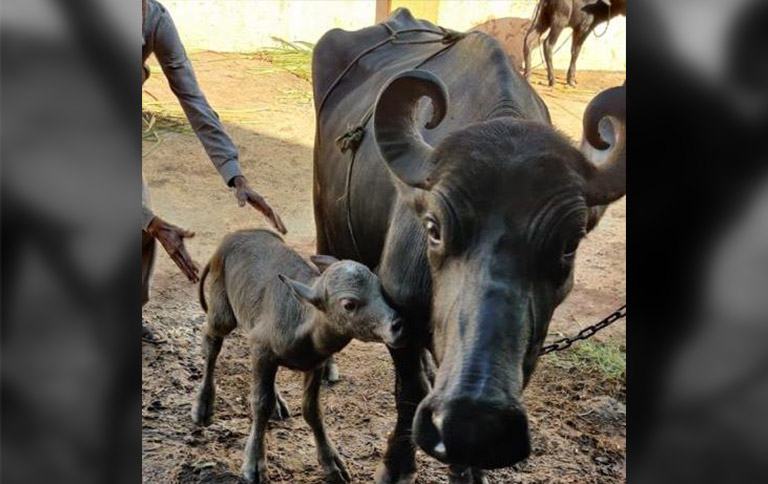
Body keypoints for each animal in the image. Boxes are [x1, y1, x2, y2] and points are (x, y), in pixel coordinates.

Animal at [191, 229, 406, 483]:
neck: (303, 325)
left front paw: (332, 464)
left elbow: (312, 410)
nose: (398, 325)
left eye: (380, 288)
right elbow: (260, 404)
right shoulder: (262, 349)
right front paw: (255, 463)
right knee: (212, 342)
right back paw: (203, 405)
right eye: (349, 304)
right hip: (221, 310)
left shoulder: (315, 364)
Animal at [311, 8, 626, 484]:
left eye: (569, 244)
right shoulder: (397, 309)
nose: (472, 420)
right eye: (433, 228)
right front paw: (397, 466)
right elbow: (409, 393)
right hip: (323, 219)